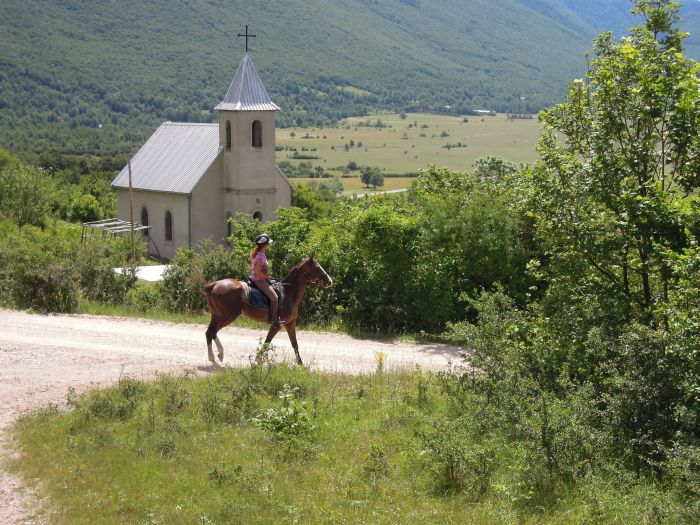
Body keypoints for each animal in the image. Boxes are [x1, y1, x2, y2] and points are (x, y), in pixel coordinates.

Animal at [202, 256, 334, 366]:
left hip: (217, 315)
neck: (289, 293)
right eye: (317, 267)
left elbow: (294, 344)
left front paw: (301, 364)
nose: (329, 281)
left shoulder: (290, 324)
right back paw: (215, 357)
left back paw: (217, 356)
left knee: (210, 332)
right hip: (227, 316)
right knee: (212, 332)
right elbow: (267, 342)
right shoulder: (277, 325)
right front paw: (257, 360)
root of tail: (213, 285)